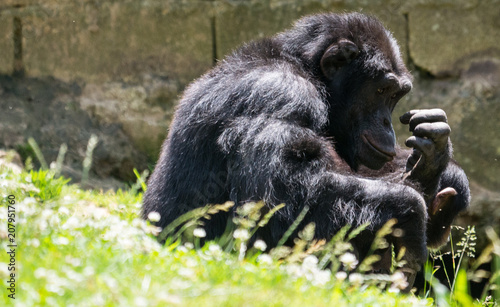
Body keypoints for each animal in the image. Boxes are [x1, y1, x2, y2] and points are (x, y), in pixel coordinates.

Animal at [143, 11, 470, 286]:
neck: (308, 73)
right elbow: (283, 193)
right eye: (381, 90)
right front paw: (411, 210)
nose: (386, 122)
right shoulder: (282, 96)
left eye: (395, 95)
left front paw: (434, 162)